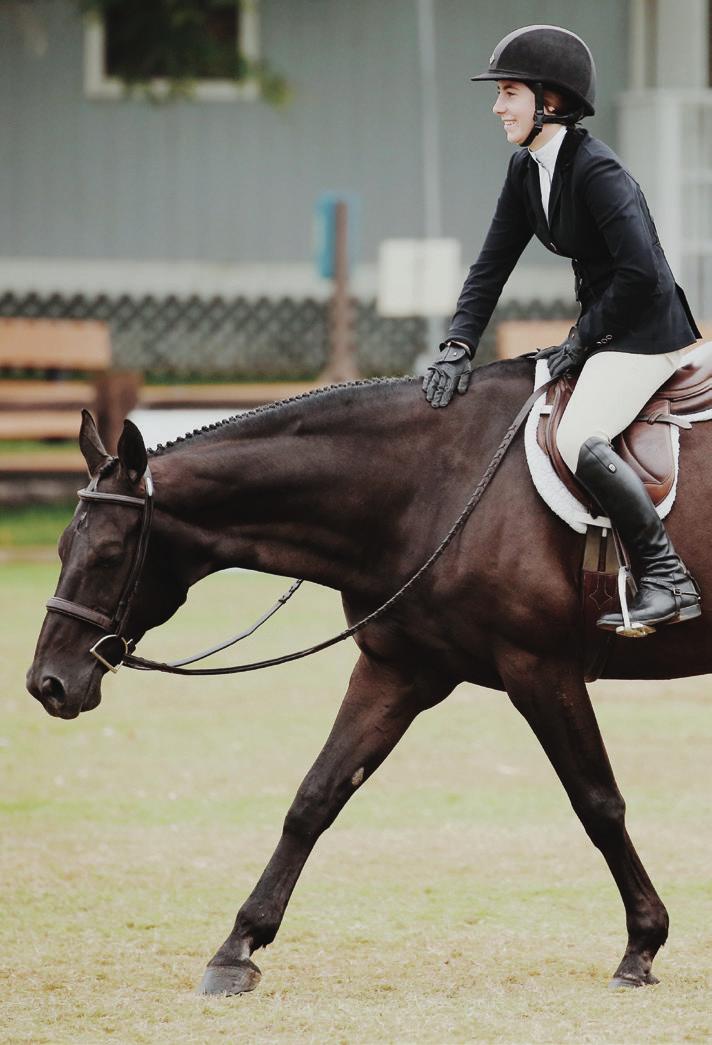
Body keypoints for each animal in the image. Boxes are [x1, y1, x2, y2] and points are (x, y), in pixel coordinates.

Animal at [24, 361, 706, 994]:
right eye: (59, 549)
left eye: (108, 556)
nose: (46, 684)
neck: (431, 488)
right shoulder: (398, 669)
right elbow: (315, 797)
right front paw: (236, 949)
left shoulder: (539, 667)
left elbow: (598, 803)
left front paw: (641, 946)